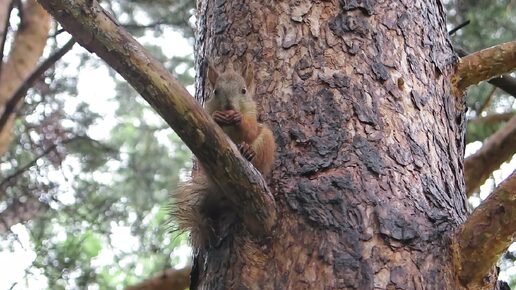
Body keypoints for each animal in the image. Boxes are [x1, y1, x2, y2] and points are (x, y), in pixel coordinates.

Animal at [171, 61, 276, 249]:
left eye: (244, 91)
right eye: (215, 91)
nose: (229, 107)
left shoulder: (252, 115)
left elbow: (250, 130)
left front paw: (238, 119)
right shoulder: (205, 111)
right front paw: (218, 117)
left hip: (267, 142)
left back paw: (248, 152)